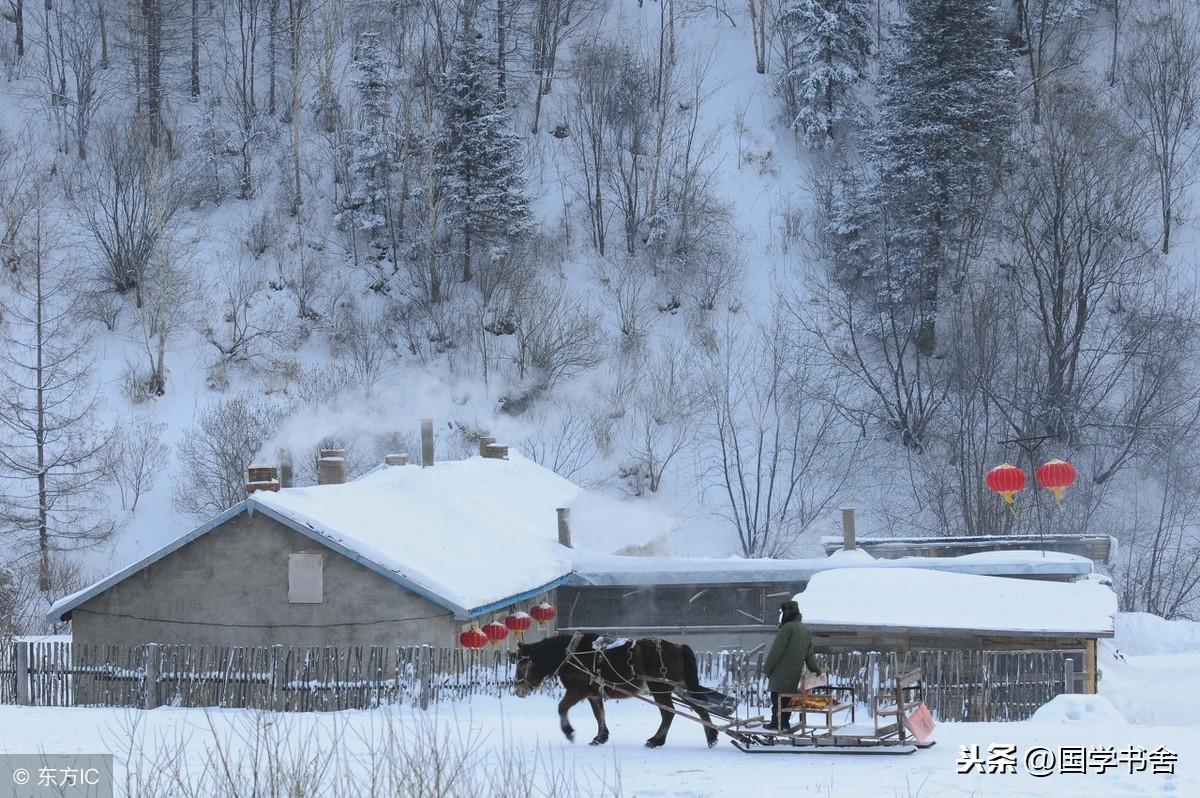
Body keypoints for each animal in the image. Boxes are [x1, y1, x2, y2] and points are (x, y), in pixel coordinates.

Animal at [511, 633, 715, 748]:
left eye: (521, 664)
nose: (518, 690)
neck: (571, 656)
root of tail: (678, 647)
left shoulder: (578, 690)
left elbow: (562, 707)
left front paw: (568, 731)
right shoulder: (593, 693)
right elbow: (599, 714)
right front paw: (600, 737)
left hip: (661, 688)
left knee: (668, 713)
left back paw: (656, 740)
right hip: (680, 687)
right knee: (700, 707)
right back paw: (711, 736)